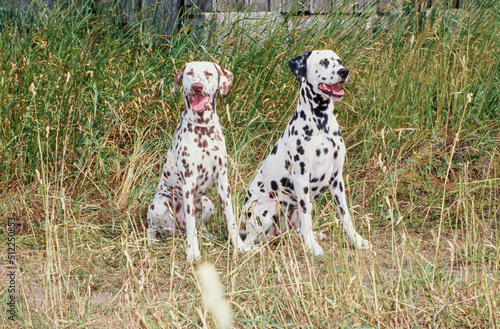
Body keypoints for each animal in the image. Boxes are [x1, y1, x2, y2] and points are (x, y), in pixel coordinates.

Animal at [147, 61, 250, 262]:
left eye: (209, 74)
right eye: (190, 73)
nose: (197, 87)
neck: (203, 130)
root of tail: (177, 230)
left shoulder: (222, 180)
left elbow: (231, 218)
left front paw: (239, 246)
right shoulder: (189, 182)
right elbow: (191, 225)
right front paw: (193, 252)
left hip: (206, 202)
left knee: (199, 226)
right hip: (158, 205)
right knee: (154, 227)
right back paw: (152, 240)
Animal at [242, 50, 372, 255]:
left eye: (339, 61)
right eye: (324, 62)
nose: (344, 71)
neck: (321, 125)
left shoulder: (337, 179)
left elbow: (345, 215)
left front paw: (357, 240)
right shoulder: (301, 180)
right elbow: (307, 217)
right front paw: (312, 247)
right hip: (265, 210)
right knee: (245, 243)